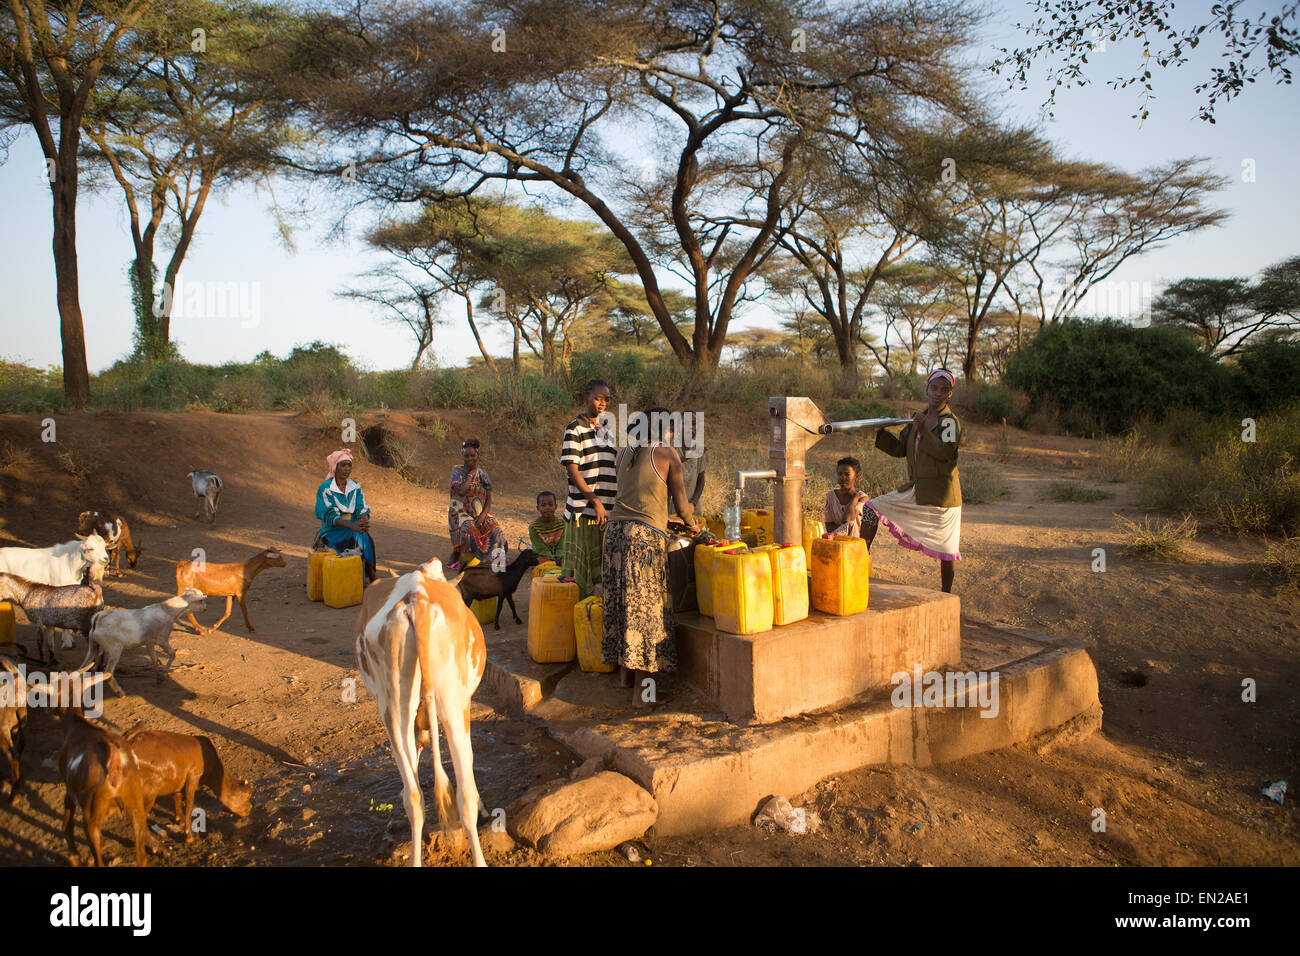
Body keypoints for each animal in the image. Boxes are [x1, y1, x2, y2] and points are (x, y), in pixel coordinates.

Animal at [122, 728, 252, 842]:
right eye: (245, 796)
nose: (249, 809)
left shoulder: (179, 780)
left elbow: (177, 797)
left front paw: (180, 819)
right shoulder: (193, 777)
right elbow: (189, 805)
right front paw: (189, 836)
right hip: (149, 791)